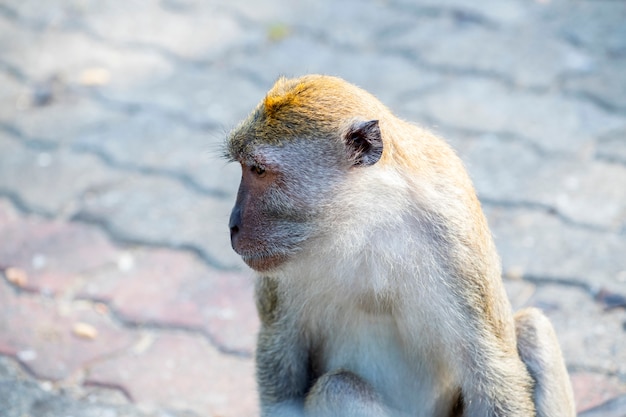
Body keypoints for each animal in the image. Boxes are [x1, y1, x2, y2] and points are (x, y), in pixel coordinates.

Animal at [223, 75, 572, 416]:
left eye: (258, 170)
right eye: (244, 166)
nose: (232, 226)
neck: (368, 222)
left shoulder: (455, 237)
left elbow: (493, 373)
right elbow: (280, 359)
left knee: (532, 327)